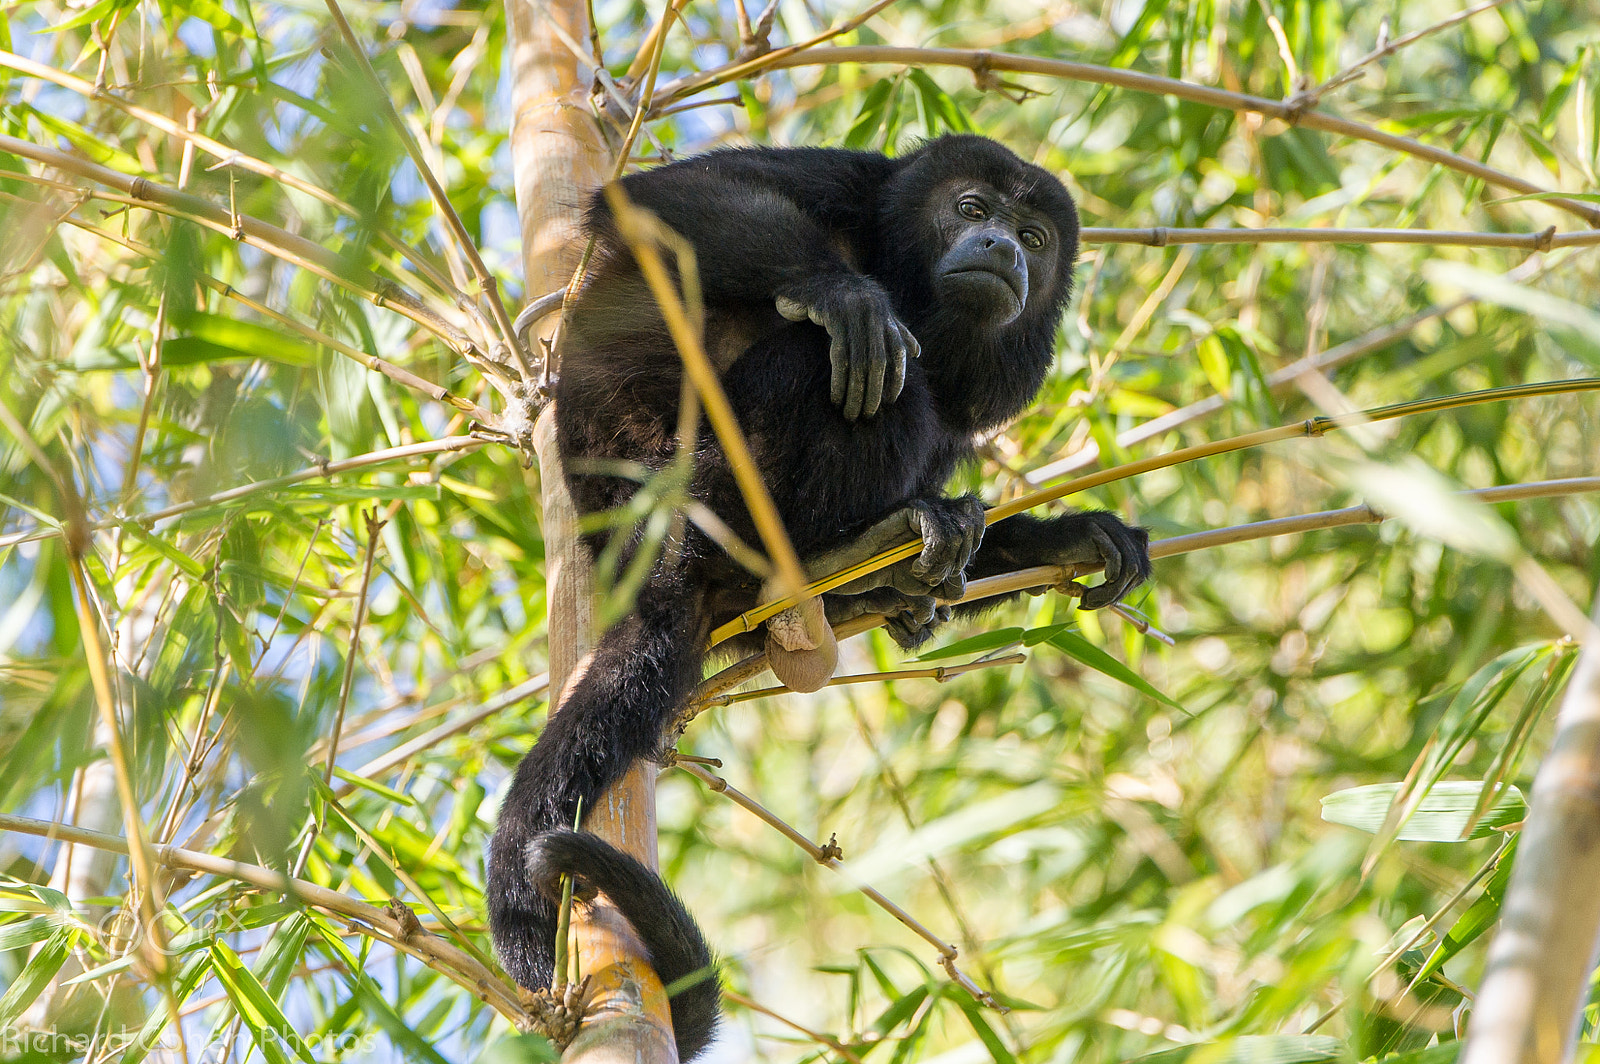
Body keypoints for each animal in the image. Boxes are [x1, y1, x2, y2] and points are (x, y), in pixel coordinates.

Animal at [489, 135, 1151, 1060]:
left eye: (1035, 237)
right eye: (971, 209)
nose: (1002, 247)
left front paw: (1070, 538)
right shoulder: (850, 178)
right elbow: (658, 198)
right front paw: (844, 293)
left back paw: (901, 571)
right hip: (698, 490)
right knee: (847, 365)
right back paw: (843, 545)